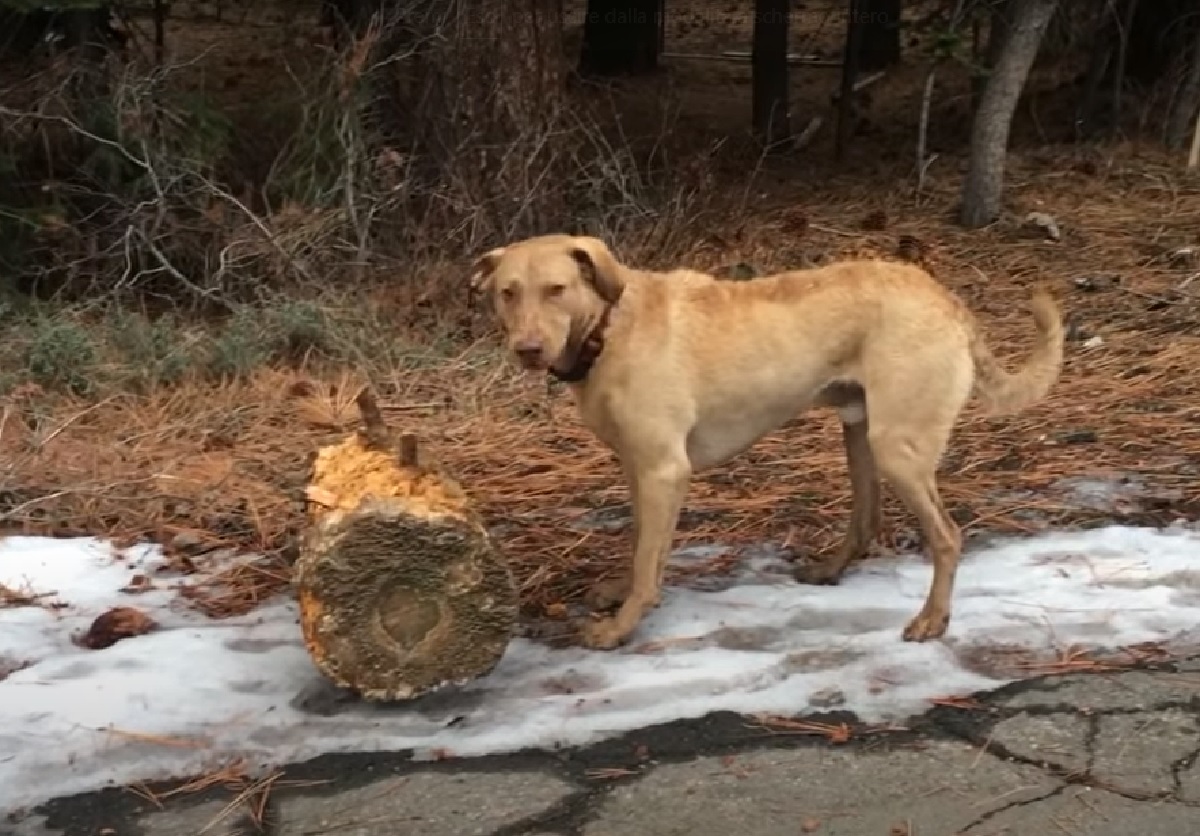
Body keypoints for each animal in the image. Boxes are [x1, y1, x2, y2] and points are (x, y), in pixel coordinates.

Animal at [472, 231, 1065, 647]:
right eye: (507, 293)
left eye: (557, 289)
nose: (527, 349)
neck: (607, 327)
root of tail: (946, 298)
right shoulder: (639, 469)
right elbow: (642, 542)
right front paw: (622, 594)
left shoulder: (664, 469)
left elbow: (646, 561)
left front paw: (622, 625)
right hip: (860, 434)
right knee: (865, 522)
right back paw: (830, 570)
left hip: (899, 448)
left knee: (947, 537)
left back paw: (932, 619)